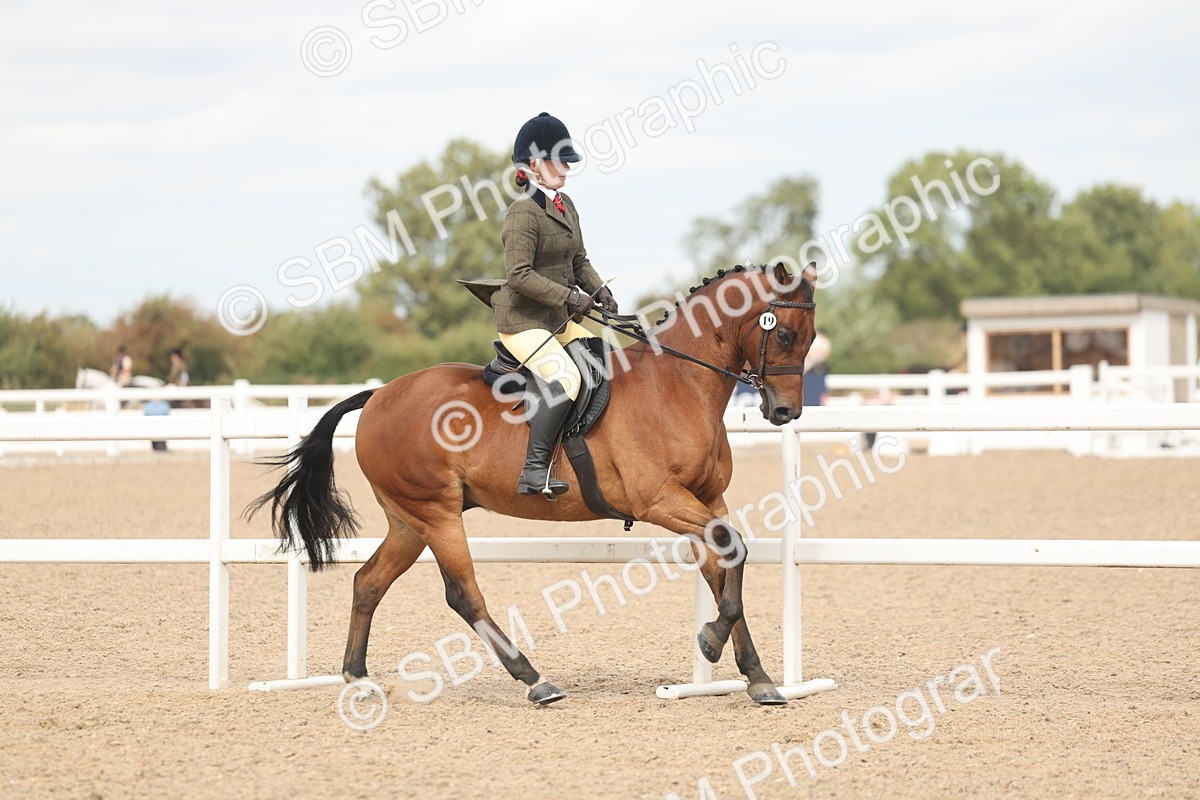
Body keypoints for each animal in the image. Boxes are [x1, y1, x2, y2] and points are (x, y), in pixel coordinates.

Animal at [249, 262, 818, 706]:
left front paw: (756, 676)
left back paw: (357, 678)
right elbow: (733, 554)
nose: (785, 412)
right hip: (435, 513)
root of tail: (380, 394)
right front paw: (712, 642)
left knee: (368, 582)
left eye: (810, 338)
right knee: (463, 595)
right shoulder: (661, 501)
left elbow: (726, 570)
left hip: (408, 520)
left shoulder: (707, 500)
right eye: (784, 334)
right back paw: (535, 680)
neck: (679, 385)